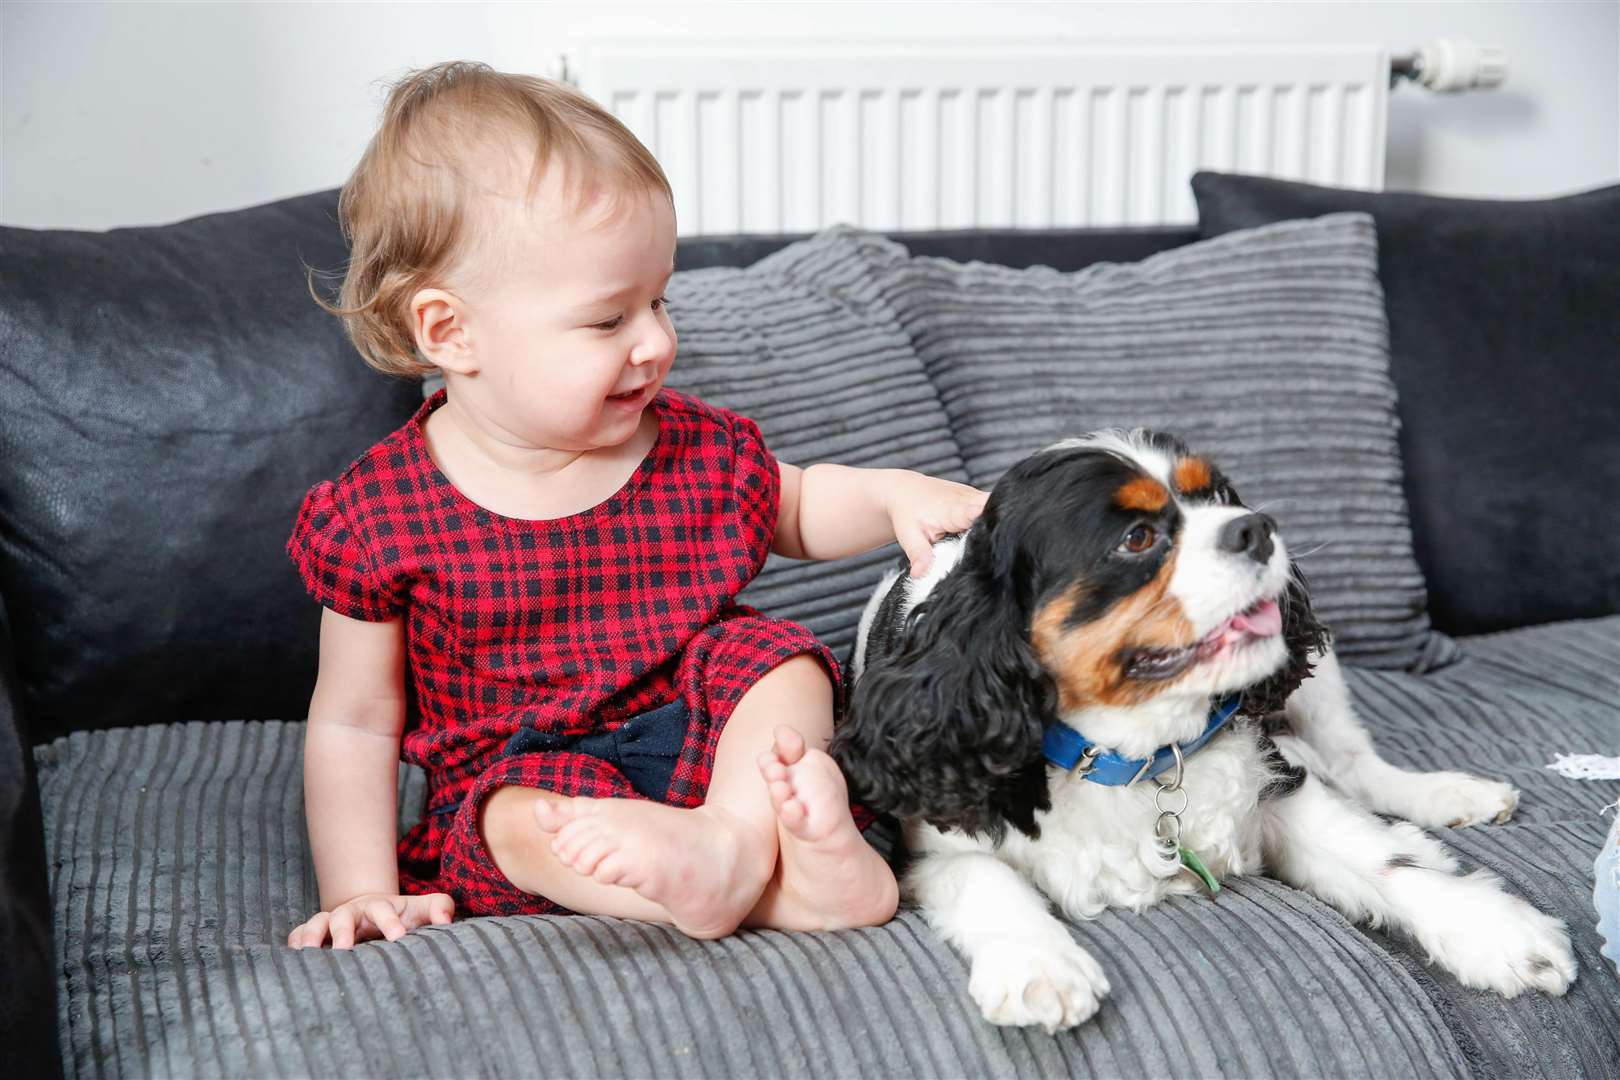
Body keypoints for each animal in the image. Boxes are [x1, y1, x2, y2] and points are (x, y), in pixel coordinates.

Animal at [835, 433, 1568, 1036]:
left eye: (1217, 496)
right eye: (1136, 537)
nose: (1259, 526)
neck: (1135, 749)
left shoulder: (1273, 788)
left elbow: (1381, 859)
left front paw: (1494, 929)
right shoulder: (931, 847)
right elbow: (987, 883)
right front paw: (1039, 966)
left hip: (1320, 681)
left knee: (1356, 763)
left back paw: (1450, 797)